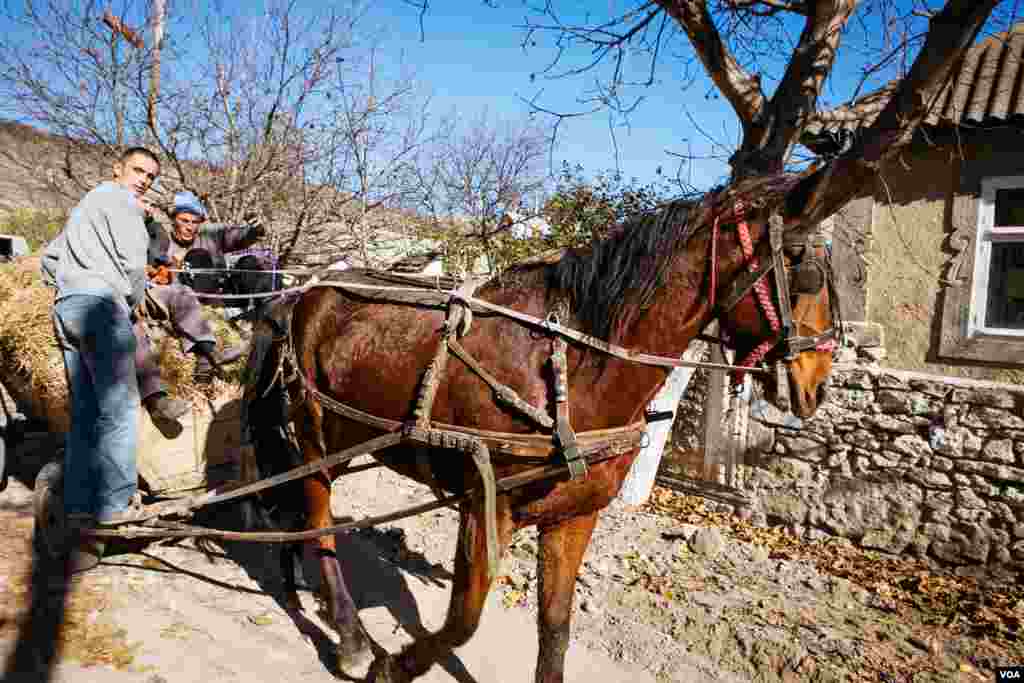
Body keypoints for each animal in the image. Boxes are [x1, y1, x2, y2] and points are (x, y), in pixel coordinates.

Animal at [241, 174, 839, 679]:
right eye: (802, 268)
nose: (816, 384)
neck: (570, 370)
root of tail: (303, 291)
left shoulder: (575, 516)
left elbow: (555, 627)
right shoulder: (486, 507)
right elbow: (463, 621)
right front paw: (394, 666)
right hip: (316, 432)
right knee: (318, 515)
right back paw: (349, 635)